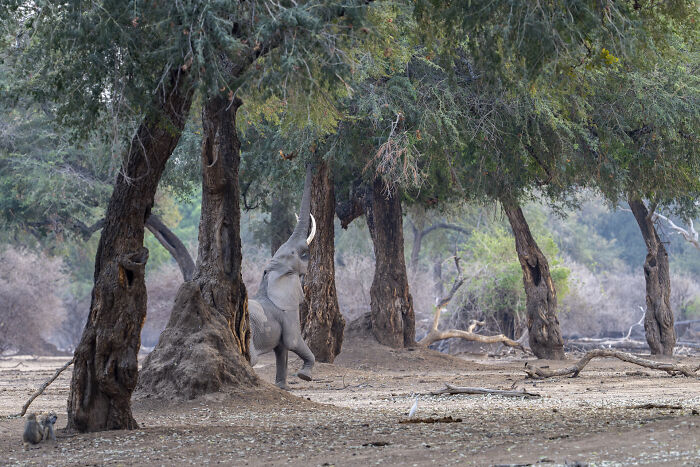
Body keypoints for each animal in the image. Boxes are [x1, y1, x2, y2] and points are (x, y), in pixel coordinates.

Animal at [248, 166, 317, 389]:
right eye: (300, 254)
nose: (309, 163)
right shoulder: (288, 312)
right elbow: (293, 341)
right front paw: (304, 376)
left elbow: (282, 350)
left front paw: (283, 387)